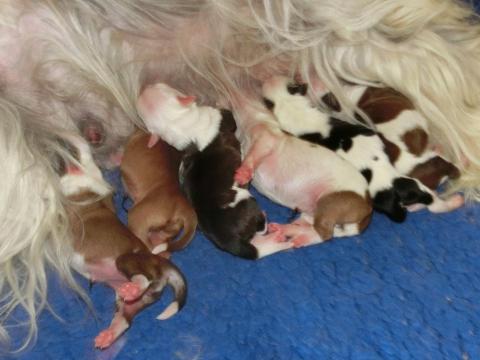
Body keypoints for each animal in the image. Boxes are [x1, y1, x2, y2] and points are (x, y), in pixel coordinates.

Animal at [60, 137, 188, 348]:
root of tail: (160, 261)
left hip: (126, 260)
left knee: (144, 278)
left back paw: (134, 287)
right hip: (133, 301)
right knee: (125, 320)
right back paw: (108, 335)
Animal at [135, 84, 292, 258]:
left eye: (160, 86)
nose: (145, 87)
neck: (180, 127)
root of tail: (230, 239)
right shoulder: (221, 116)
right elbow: (228, 116)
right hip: (247, 199)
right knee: (260, 229)